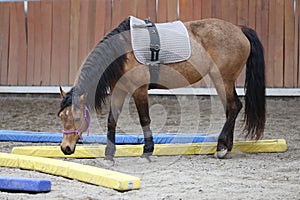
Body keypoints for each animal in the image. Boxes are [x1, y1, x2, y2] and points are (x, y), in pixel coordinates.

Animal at [57, 16, 266, 162]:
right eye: (61, 117)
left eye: (77, 118)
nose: (65, 148)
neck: (122, 51)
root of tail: (240, 29)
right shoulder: (118, 89)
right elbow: (111, 120)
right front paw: (109, 154)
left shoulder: (139, 90)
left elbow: (144, 119)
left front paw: (147, 152)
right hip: (221, 82)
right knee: (230, 108)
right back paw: (225, 147)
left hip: (223, 79)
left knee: (234, 107)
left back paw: (222, 147)